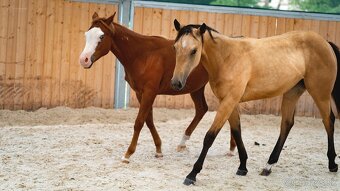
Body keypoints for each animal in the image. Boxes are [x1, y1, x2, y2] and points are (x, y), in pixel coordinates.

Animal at [79, 11, 239, 163]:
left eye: (101, 36)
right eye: (87, 35)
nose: (84, 60)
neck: (142, 55)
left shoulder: (150, 92)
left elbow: (139, 122)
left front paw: (128, 154)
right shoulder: (140, 93)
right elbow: (148, 120)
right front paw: (158, 150)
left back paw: (231, 149)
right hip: (197, 88)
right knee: (202, 109)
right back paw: (184, 143)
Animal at [173, 19, 340, 185]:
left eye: (194, 50)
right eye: (175, 48)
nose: (176, 83)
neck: (227, 58)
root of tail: (325, 42)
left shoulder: (229, 101)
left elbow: (209, 137)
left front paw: (192, 174)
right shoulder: (230, 102)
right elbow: (237, 131)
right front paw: (242, 167)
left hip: (320, 94)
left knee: (328, 121)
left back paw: (332, 164)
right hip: (292, 93)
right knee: (287, 124)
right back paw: (268, 166)